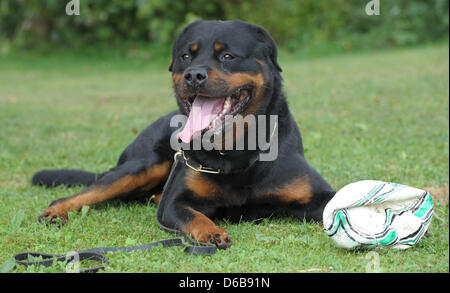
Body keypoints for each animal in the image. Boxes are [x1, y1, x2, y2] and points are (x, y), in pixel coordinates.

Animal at [33, 19, 336, 249]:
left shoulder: (319, 195)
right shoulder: (174, 203)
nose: (193, 75)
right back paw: (55, 211)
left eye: (227, 56)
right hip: (144, 166)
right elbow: (193, 216)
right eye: (185, 56)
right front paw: (211, 231)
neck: (236, 150)